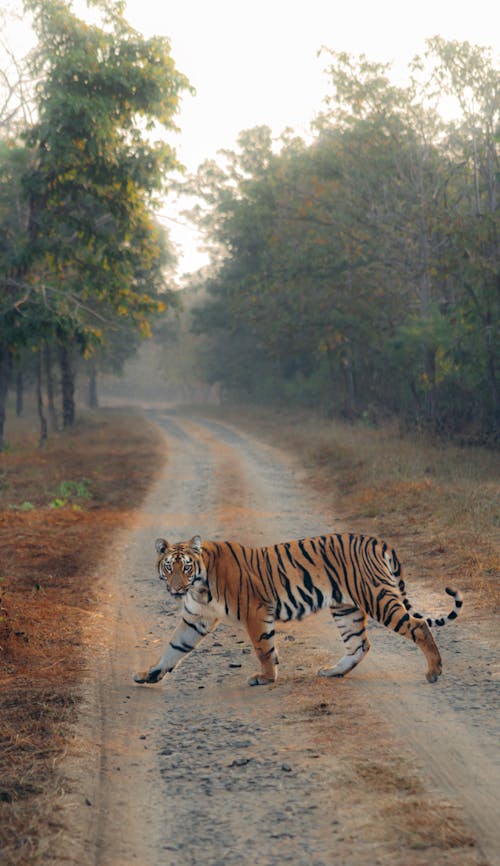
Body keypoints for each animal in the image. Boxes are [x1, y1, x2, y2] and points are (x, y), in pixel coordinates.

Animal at [132, 528, 460, 688]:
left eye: (186, 567)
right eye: (169, 567)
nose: (176, 589)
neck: (199, 588)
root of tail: (375, 540)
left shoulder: (256, 611)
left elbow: (263, 648)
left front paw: (265, 678)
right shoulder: (195, 620)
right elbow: (173, 648)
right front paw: (149, 675)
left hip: (376, 597)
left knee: (419, 626)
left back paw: (434, 671)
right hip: (346, 608)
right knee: (359, 645)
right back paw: (333, 672)